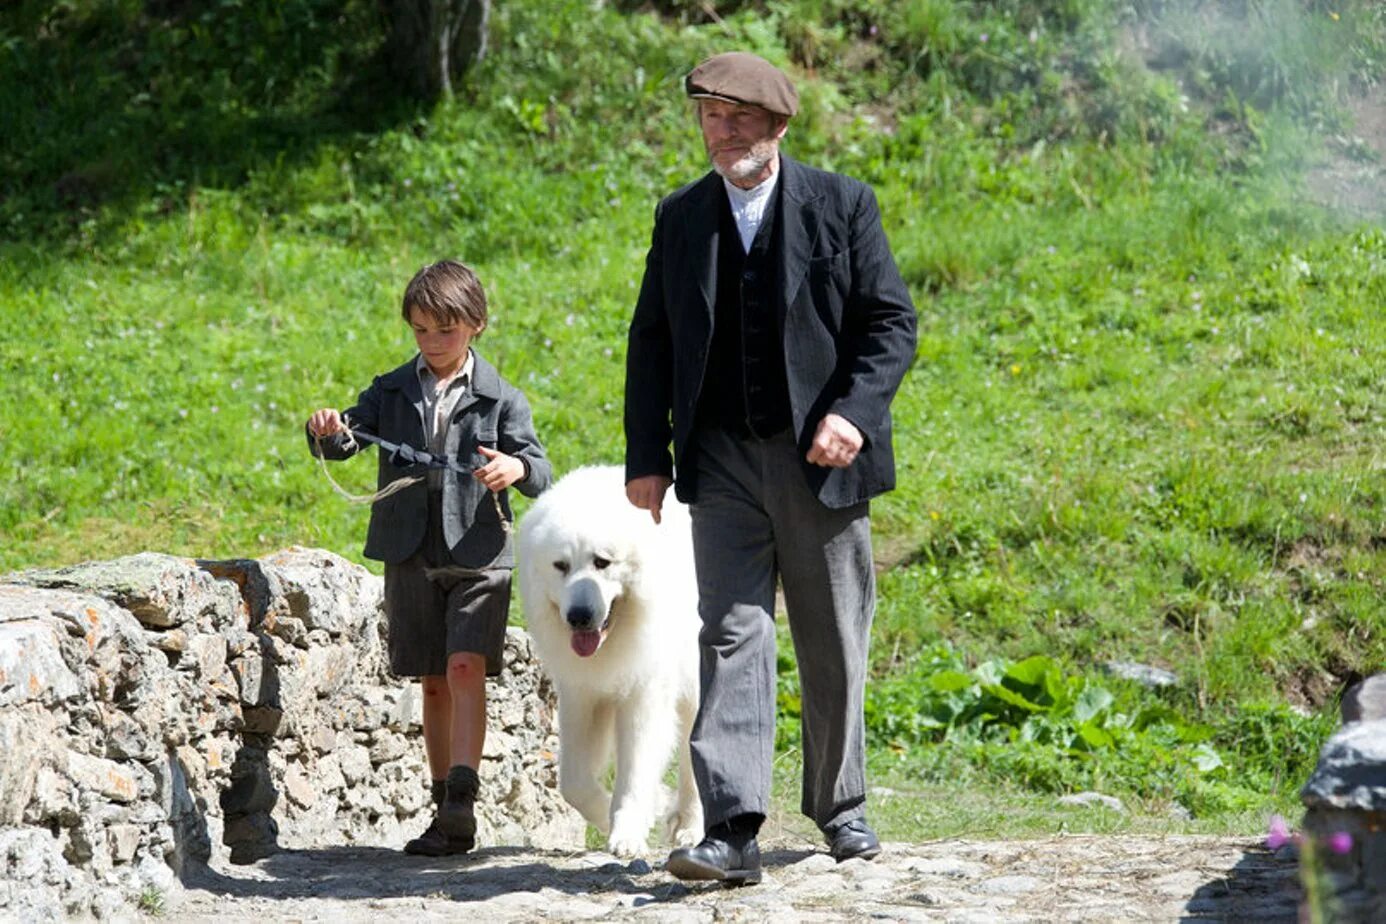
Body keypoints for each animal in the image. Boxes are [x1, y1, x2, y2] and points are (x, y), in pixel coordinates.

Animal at [515, 465, 698, 858]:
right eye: (560, 566)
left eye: (602, 562)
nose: (579, 616)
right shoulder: (580, 693)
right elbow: (573, 783)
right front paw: (611, 816)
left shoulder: (645, 692)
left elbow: (635, 769)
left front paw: (628, 833)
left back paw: (691, 829)